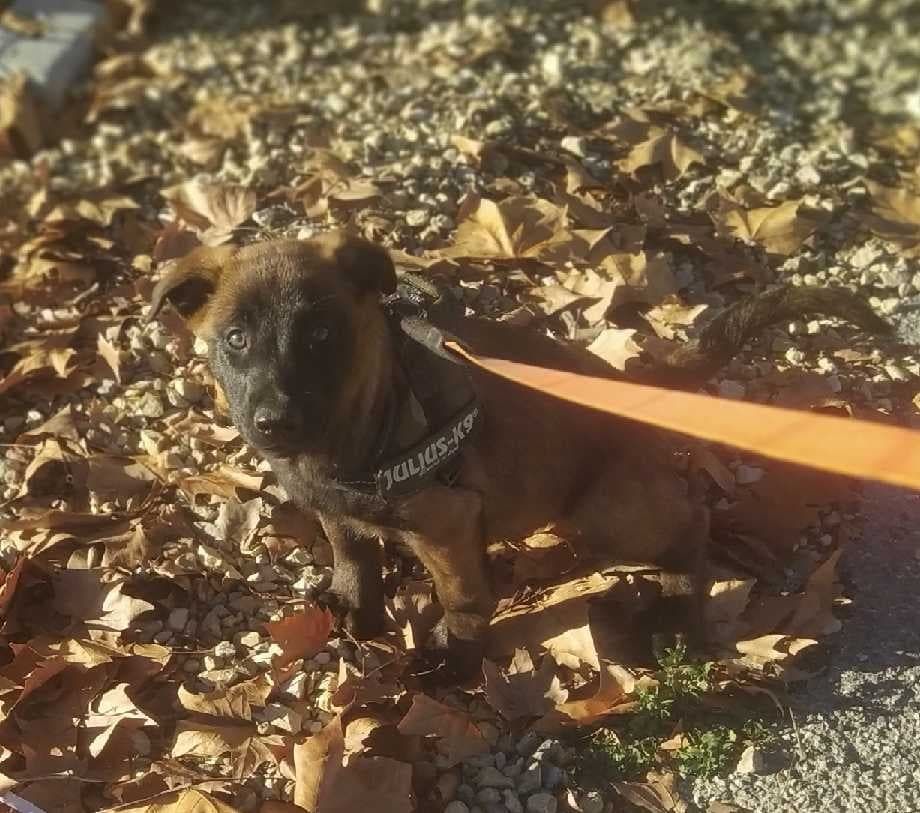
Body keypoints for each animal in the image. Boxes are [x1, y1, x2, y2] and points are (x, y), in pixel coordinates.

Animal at [147, 232, 891, 674]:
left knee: (691, 523)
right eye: (236, 338)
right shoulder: (335, 508)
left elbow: (461, 597)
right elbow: (351, 551)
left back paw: (676, 611)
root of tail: (628, 384)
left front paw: (452, 658)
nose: (274, 422)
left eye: (323, 333)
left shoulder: (447, 525)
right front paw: (356, 605)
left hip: (605, 511)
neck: (374, 416)